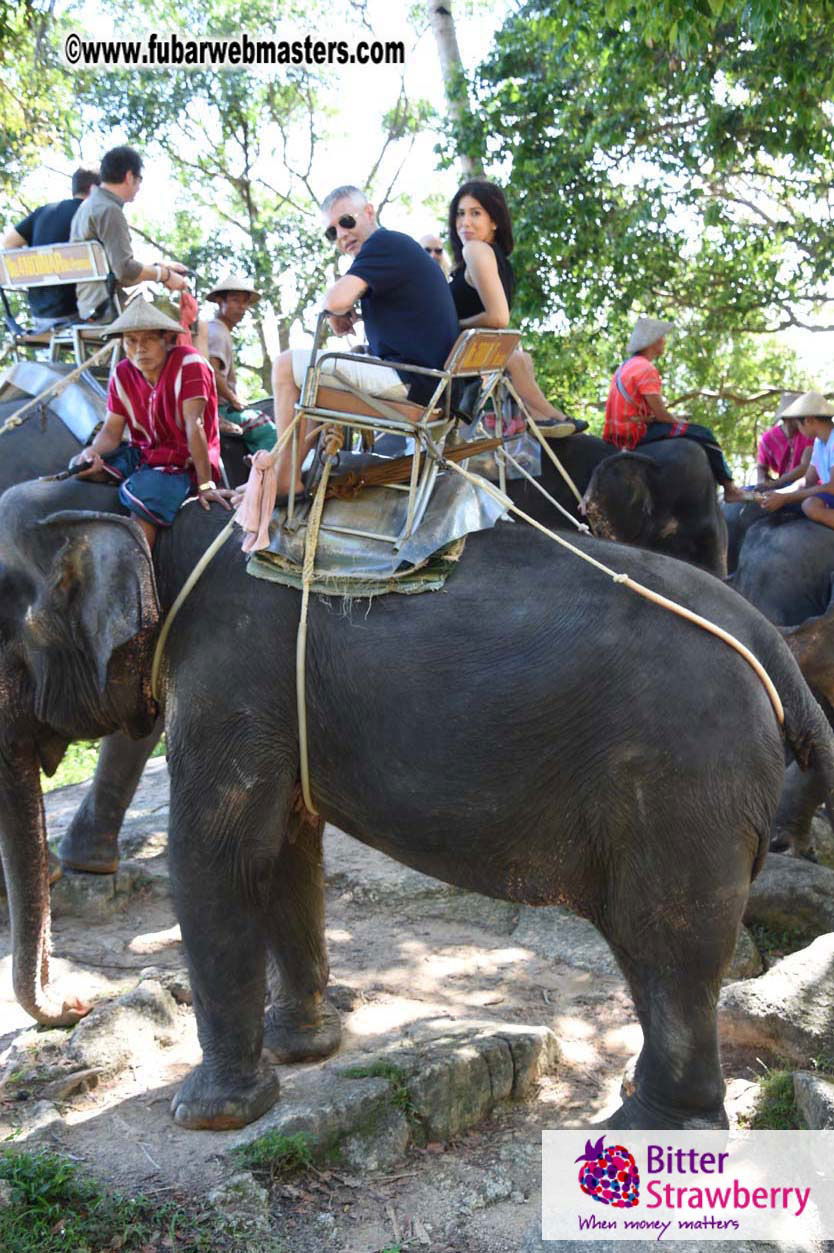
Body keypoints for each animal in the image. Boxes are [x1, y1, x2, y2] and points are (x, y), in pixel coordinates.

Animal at [1, 475, 832, 1134]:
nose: (76, 1002)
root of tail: (775, 652)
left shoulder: (230, 675)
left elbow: (216, 856)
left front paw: (207, 1116)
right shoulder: (274, 699)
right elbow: (289, 847)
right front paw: (304, 1049)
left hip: (686, 783)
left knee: (669, 943)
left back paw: (640, 1129)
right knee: (659, 953)